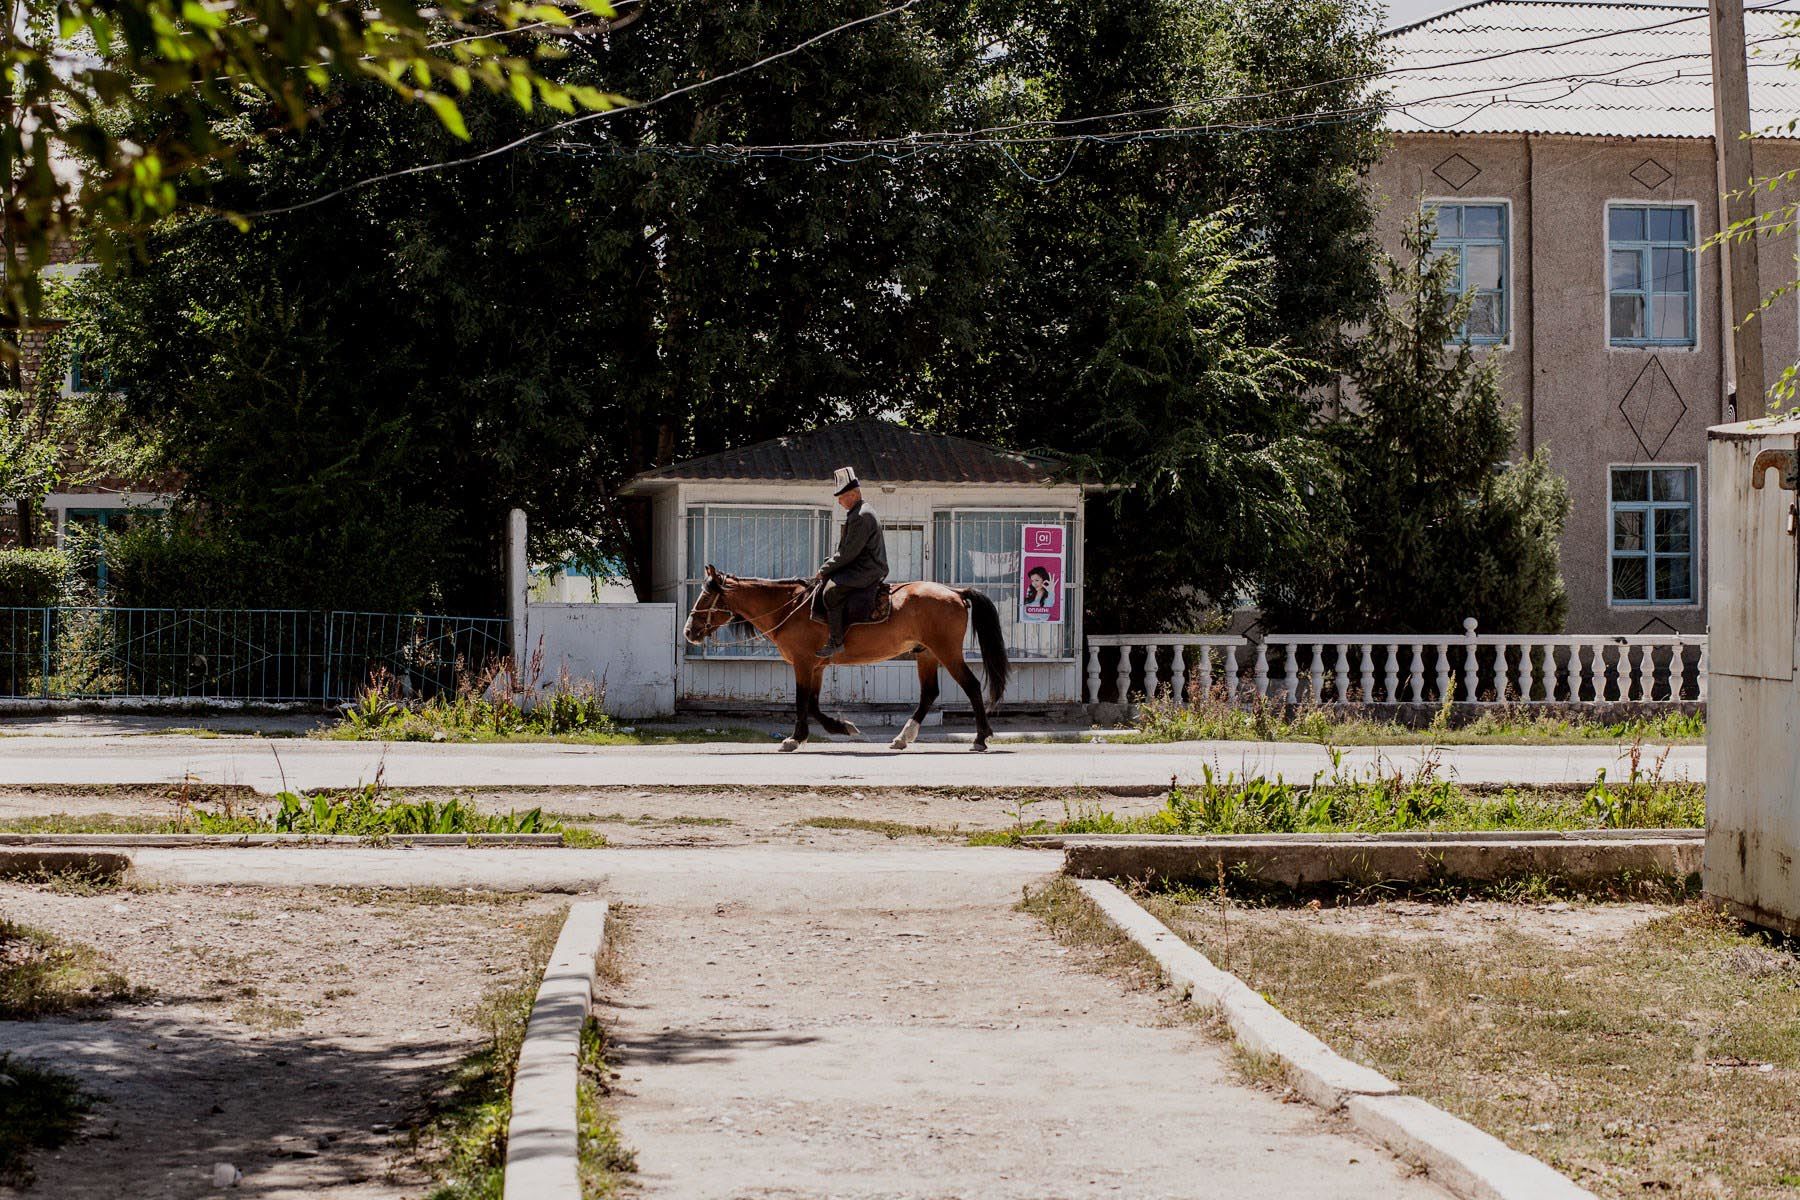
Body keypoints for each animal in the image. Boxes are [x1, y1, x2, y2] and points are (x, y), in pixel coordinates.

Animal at [680, 572, 1008, 755]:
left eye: (706, 596)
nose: (689, 631)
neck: (791, 607)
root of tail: (955, 592)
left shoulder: (803, 663)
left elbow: (802, 702)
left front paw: (794, 739)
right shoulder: (816, 667)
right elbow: (812, 704)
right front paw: (842, 727)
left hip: (946, 651)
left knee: (971, 686)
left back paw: (980, 738)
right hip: (926, 654)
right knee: (929, 694)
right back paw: (903, 737)